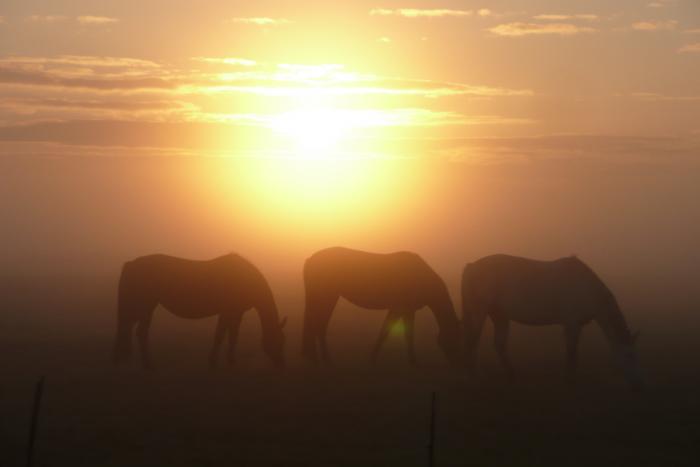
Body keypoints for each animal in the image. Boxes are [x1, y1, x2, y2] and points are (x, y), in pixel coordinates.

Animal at [113, 254, 288, 372]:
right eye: (279, 341)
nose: (281, 364)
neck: (245, 279)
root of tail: (131, 264)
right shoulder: (227, 311)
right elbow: (220, 336)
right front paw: (213, 362)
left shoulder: (236, 313)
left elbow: (233, 336)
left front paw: (231, 362)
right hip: (145, 306)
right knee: (138, 331)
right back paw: (148, 365)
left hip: (145, 306)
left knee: (134, 330)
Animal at [300, 247, 460, 368]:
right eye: (453, 338)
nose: (455, 364)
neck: (421, 277)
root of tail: (310, 260)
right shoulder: (401, 309)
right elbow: (394, 334)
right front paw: (412, 362)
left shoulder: (404, 310)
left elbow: (391, 332)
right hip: (327, 297)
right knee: (319, 325)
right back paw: (325, 360)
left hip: (326, 297)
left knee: (318, 325)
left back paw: (316, 359)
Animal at [462, 254, 644, 390]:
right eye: (629, 355)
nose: (638, 384)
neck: (586, 287)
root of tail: (472, 266)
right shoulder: (571, 324)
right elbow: (571, 351)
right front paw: (569, 380)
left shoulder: (577, 325)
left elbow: (573, 351)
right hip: (479, 312)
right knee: (472, 342)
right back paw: (476, 377)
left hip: (499, 315)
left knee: (499, 345)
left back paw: (511, 376)